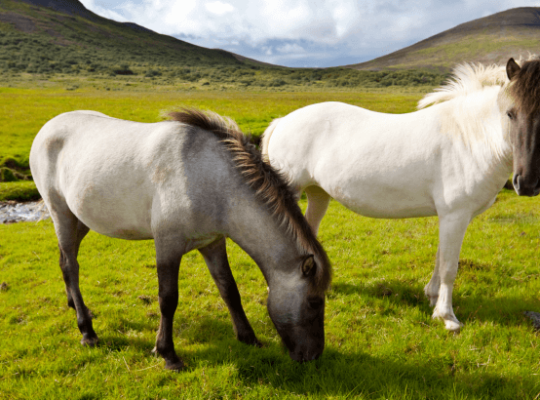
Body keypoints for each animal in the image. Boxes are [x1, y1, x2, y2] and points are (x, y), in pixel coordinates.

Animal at [264, 56, 540, 332]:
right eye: (510, 113)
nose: (527, 183)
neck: (469, 137)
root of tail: (283, 121)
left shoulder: (451, 217)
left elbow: (441, 258)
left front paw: (432, 297)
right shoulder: (455, 215)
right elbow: (449, 266)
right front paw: (447, 317)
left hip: (318, 194)